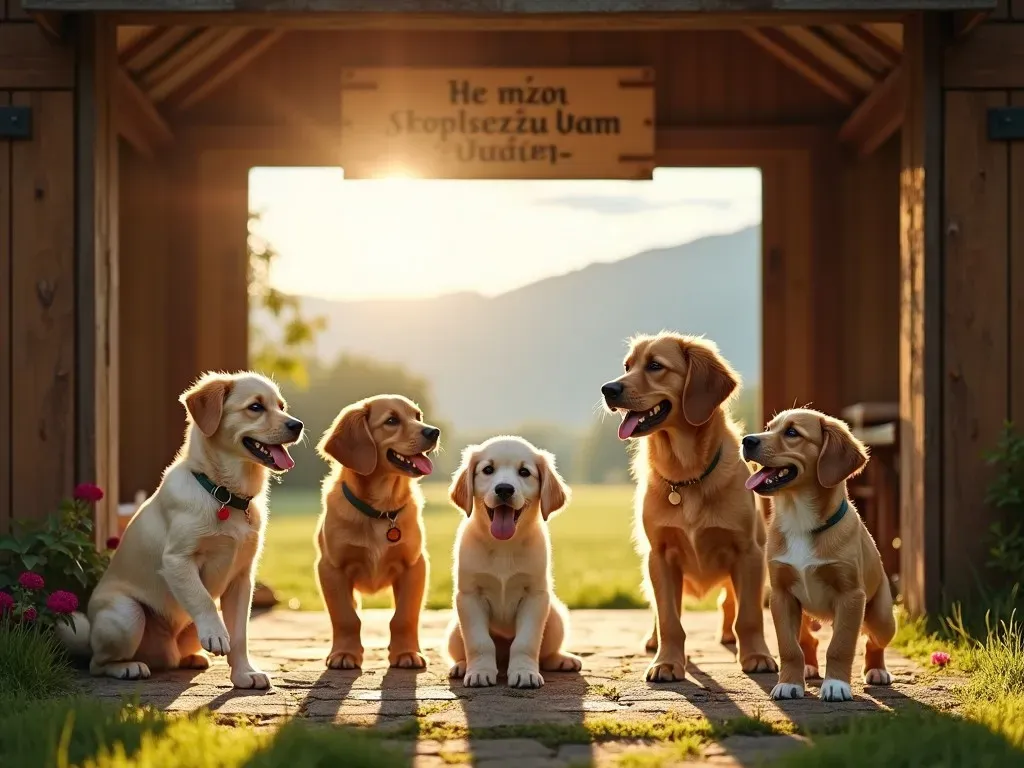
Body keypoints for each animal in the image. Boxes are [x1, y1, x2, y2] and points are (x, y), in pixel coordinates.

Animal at [56, 370, 301, 688]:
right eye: (256, 407)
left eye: (281, 406)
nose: (297, 425)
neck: (223, 493)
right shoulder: (177, 560)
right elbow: (202, 600)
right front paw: (216, 633)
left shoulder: (242, 578)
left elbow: (239, 635)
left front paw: (244, 674)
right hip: (126, 615)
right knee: (97, 663)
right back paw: (128, 667)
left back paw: (191, 658)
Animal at [311, 397, 440, 671]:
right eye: (391, 420)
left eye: (418, 416)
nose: (433, 432)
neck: (382, 511)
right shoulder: (331, 568)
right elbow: (346, 617)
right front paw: (344, 654)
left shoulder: (414, 566)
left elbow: (404, 616)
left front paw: (407, 653)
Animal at [448, 438, 585, 692]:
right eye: (488, 469)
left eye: (524, 472)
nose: (504, 489)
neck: (504, 547)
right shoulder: (469, 596)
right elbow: (480, 642)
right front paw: (480, 672)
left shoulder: (535, 596)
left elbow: (526, 643)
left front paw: (524, 673)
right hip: (454, 630)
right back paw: (462, 666)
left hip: (556, 617)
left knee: (545, 654)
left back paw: (562, 660)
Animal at [598, 333, 774, 684]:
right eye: (627, 366)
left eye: (655, 366)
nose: (607, 389)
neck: (686, 476)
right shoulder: (660, 555)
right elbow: (669, 619)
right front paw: (667, 662)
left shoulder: (748, 551)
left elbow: (749, 616)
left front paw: (757, 656)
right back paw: (653, 642)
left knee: (729, 603)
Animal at [737, 409, 897, 704]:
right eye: (769, 428)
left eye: (792, 433)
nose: (747, 440)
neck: (801, 523)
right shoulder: (781, 596)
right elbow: (789, 648)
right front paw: (789, 684)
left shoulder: (850, 596)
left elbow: (840, 647)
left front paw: (836, 685)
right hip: (803, 616)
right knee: (807, 641)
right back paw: (808, 669)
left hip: (882, 618)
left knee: (874, 641)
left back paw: (877, 670)